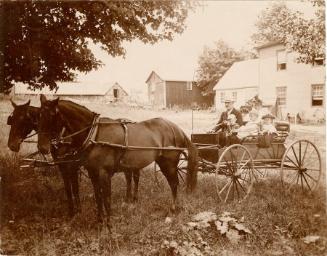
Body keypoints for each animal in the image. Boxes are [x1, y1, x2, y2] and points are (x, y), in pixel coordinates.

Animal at [37, 95, 199, 221]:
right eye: (38, 116)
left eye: (52, 116)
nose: (42, 148)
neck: (95, 134)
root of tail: (177, 129)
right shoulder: (92, 172)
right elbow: (98, 196)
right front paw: (100, 220)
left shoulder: (103, 173)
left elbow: (106, 198)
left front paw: (108, 225)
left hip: (168, 164)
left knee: (174, 184)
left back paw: (173, 209)